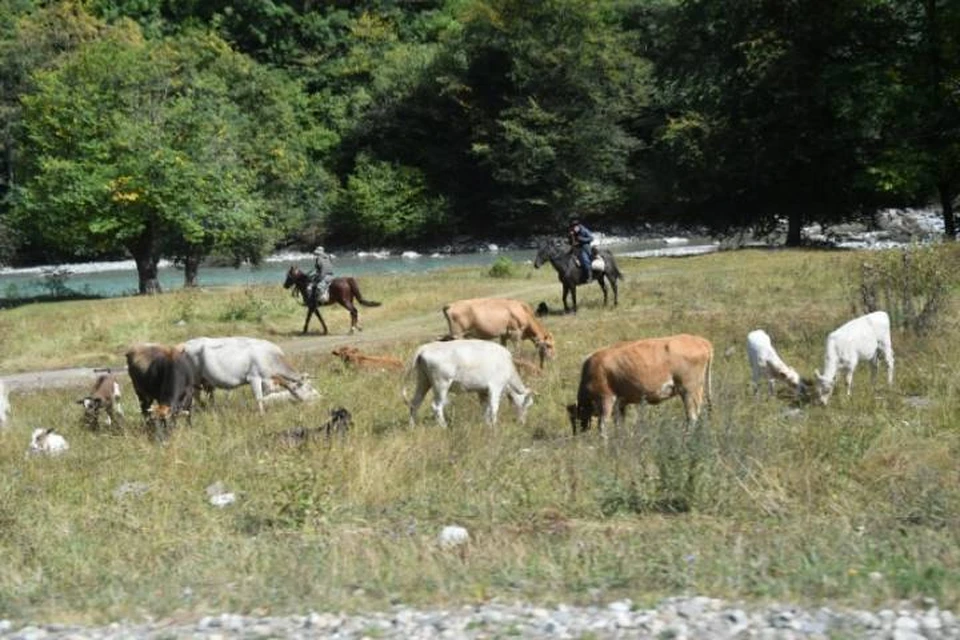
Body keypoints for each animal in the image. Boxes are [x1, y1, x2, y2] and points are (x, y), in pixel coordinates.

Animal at [184, 338, 322, 412]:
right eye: (309, 388)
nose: (321, 397)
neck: (271, 357)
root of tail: (186, 344)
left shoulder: (268, 381)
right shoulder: (254, 377)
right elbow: (259, 398)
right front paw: (262, 414)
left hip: (205, 380)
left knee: (207, 395)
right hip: (195, 378)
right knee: (196, 395)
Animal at [400, 338, 528, 428]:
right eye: (527, 404)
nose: (523, 422)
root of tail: (425, 347)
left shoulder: (482, 391)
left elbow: (485, 408)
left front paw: (486, 424)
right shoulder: (495, 387)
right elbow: (493, 407)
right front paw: (494, 426)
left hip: (423, 381)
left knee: (415, 403)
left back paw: (412, 426)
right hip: (441, 384)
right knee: (436, 406)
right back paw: (444, 427)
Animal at [568, 332, 712, 438]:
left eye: (574, 419)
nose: (577, 437)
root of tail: (701, 341)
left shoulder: (606, 399)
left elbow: (602, 426)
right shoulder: (620, 404)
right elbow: (619, 425)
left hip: (690, 391)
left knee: (692, 417)